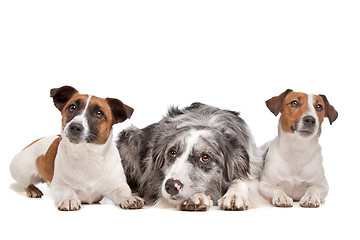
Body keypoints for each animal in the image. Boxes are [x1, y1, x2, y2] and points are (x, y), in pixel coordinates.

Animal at [8, 86, 143, 210]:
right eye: (72, 107)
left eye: (99, 113)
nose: (75, 126)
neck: (87, 156)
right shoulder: (59, 186)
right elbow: (68, 190)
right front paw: (69, 199)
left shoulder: (118, 185)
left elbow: (123, 191)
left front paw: (129, 198)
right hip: (21, 171)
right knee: (24, 183)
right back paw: (32, 190)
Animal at [117, 102, 262, 211]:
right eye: (172, 153)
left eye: (205, 157)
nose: (171, 186)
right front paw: (195, 197)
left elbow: (244, 180)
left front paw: (234, 196)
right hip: (129, 135)